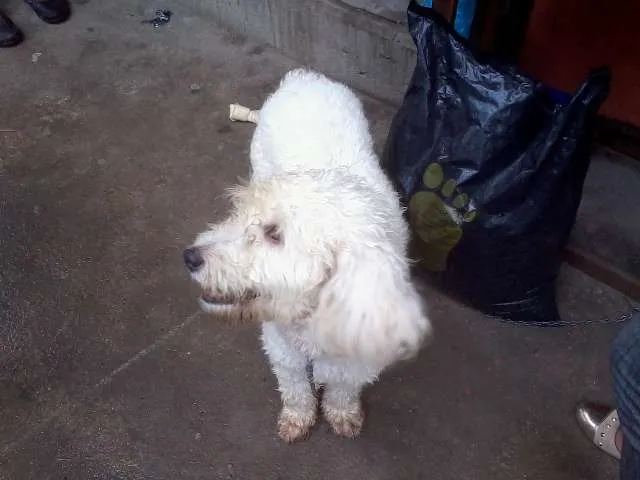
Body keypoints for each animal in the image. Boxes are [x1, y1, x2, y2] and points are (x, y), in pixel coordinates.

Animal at [184, 68, 430, 442]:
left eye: (274, 234)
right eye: (239, 216)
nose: (190, 256)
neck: (315, 316)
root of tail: (304, 77)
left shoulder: (358, 358)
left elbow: (344, 389)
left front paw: (341, 413)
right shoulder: (282, 348)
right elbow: (295, 387)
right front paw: (298, 417)